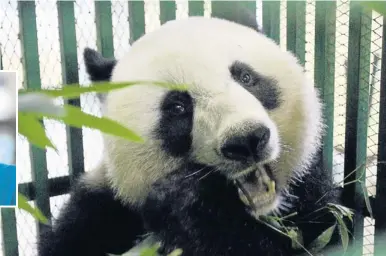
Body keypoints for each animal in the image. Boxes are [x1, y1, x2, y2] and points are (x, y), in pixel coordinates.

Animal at [37, 7, 344, 256]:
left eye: (245, 77)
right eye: (177, 106)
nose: (246, 140)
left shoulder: (312, 199)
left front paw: (190, 208)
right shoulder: (99, 209)